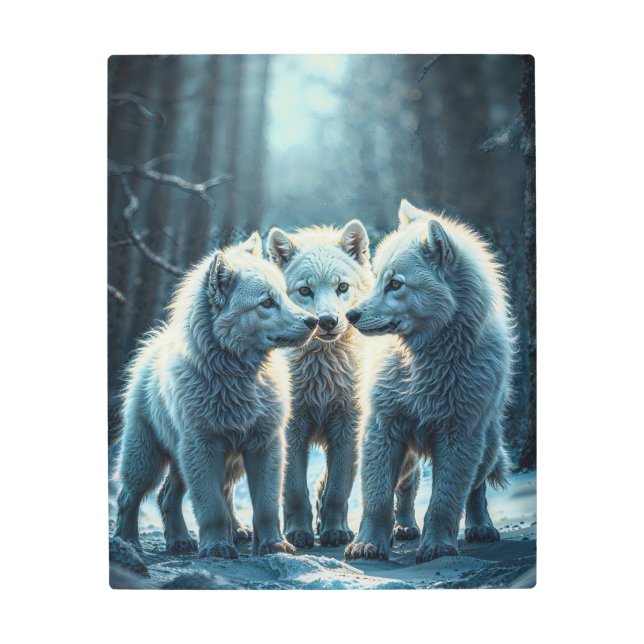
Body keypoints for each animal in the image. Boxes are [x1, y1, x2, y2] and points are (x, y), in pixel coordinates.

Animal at [114, 233, 319, 559]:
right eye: (267, 302)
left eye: (284, 296)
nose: (314, 321)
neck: (236, 376)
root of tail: (155, 343)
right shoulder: (203, 446)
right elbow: (211, 507)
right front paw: (217, 546)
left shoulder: (264, 444)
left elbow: (265, 505)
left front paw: (273, 544)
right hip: (148, 452)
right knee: (130, 496)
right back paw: (127, 541)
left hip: (214, 459)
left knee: (172, 495)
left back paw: (187, 539)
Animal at [267, 221, 396, 548]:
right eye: (305, 290)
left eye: (342, 287)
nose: (326, 321)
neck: (322, 376)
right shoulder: (293, 429)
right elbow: (294, 490)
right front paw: (298, 533)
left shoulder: (347, 427)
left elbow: (338, 489)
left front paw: (335, 531)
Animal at [344, 199, 513, 563]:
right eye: (378, 277)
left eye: (396, 284)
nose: (350, 315)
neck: (424, 363)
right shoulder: (382, 426)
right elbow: (377, 496)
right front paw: (368, 544)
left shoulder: (460, 434)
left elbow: (445, 500)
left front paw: (438, 546)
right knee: (408, 485)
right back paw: (404, 528)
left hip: (487, 443)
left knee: (476, 488)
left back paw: (480, 526)